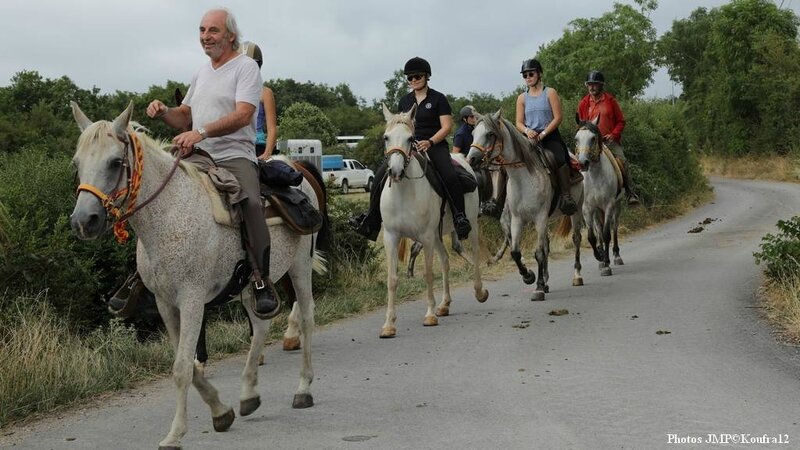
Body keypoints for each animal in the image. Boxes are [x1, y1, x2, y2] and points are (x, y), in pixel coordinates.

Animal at [65, 102, 322, 450]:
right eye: (77, 163)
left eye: (115, 162)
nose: (83, 221)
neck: (169, 213)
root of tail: (297, 171)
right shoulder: (165, 302)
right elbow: (188, 362)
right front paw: (221, 411)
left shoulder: (191, 299)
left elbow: (182, 368)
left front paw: (175, 434)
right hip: (251, 287)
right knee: (260, 326)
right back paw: (248, 394)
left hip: (299, 267)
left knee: (306, 317)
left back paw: (303, 389)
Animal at [380, 103, 488, 338]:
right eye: (386, 137)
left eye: (411, 138)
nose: (395, 171)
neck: (404, 192)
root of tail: (463, 160)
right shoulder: (392, 237)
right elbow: (392, 279)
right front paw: (389, 324)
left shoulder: (425, 237)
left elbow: (428, 274)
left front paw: (429, 315)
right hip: (438, 235)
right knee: (446, 261)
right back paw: (444, 304)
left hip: (470, 225)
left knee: (475, 254)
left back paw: (479, 292)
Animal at [466, 109, 584, 300]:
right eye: (473, 133)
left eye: (490, 134)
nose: (472, 159)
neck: (523, 178)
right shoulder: (516, 219)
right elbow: (516, 252)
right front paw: (529, 277)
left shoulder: (540, 217)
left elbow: (538, 253)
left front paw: (538, 287)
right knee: (547, 246)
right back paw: (547, 281)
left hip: (576, 210)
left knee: (576, 239)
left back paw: (577, 276)